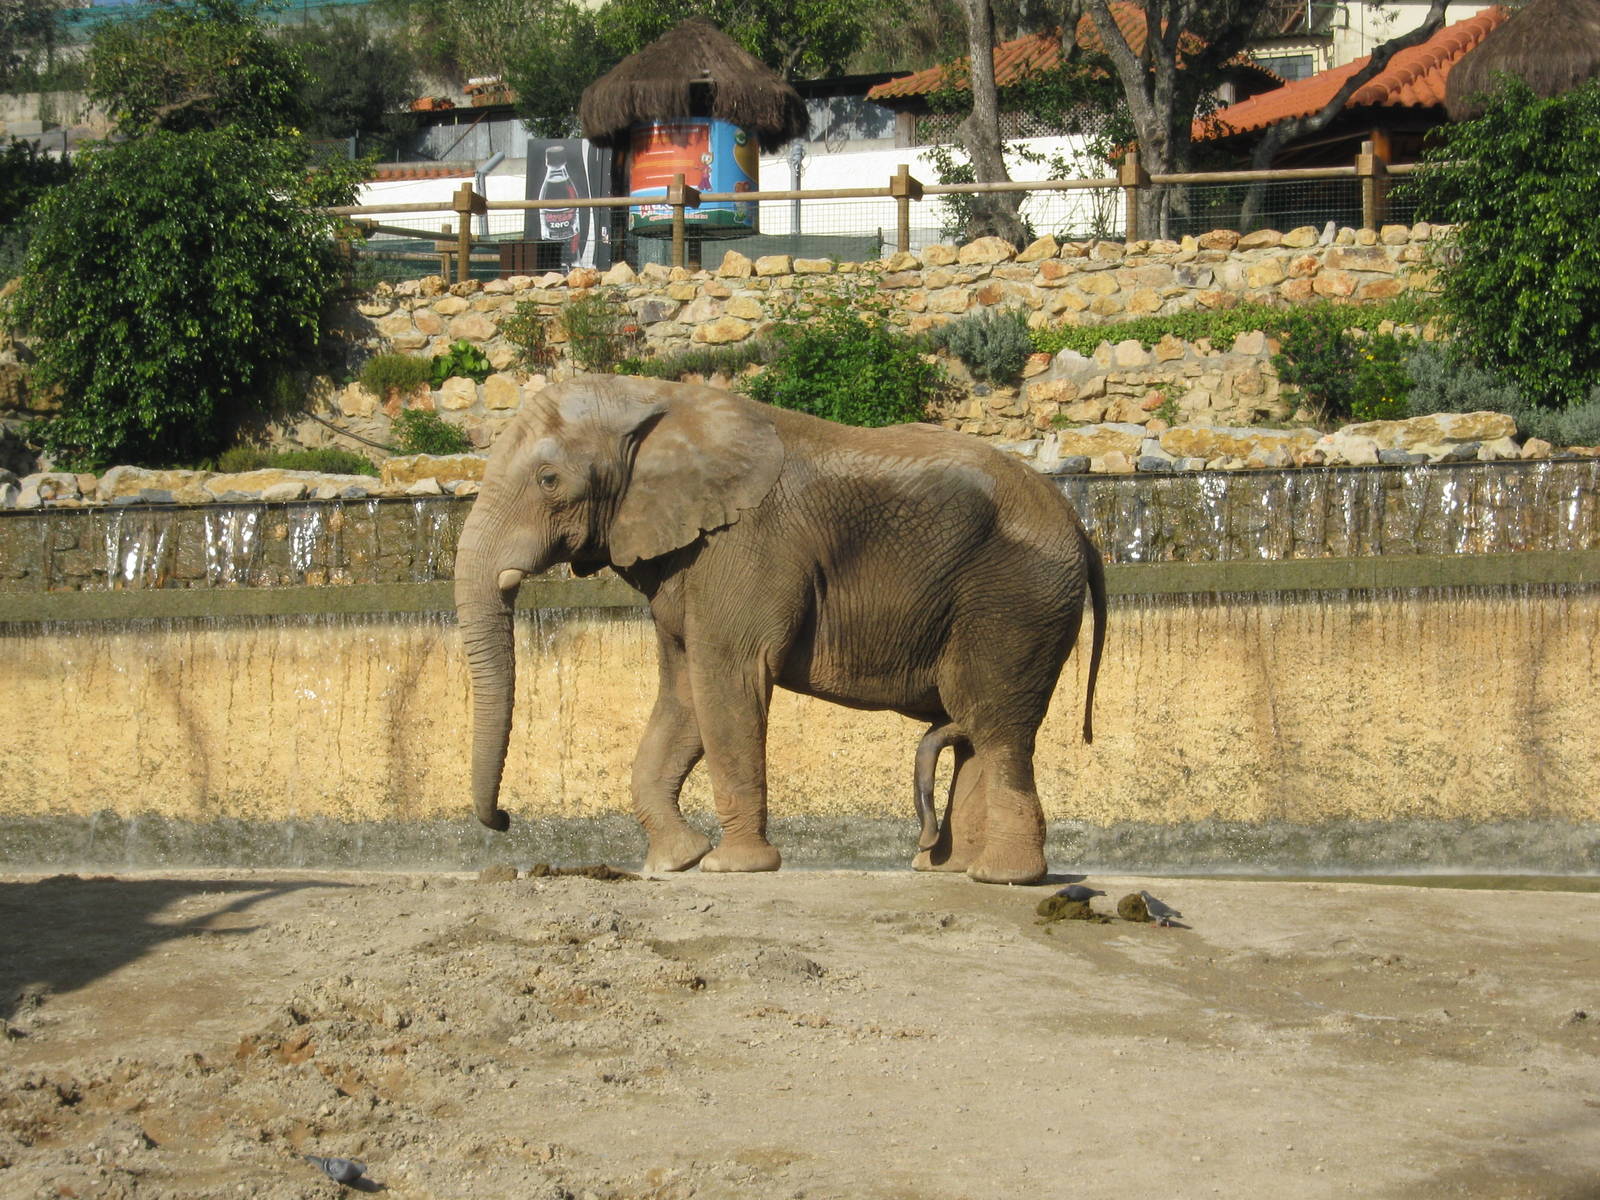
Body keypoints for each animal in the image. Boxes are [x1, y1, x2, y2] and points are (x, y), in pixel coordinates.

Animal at [454, 375, 1106, 884]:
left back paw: (1002, 876)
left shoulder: (743, 546)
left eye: (548, 480)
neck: (658, 399)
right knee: (973, 725)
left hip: (1016, 599)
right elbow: (685, 691)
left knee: (995, 724)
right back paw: (947, 868)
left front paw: (729, 867)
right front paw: (675, 862)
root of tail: (1078, 525)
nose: (505, 820)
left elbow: (726, 680)